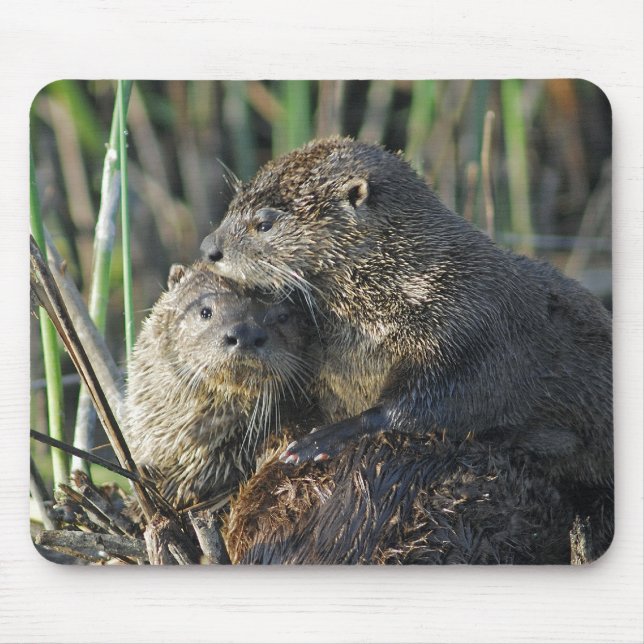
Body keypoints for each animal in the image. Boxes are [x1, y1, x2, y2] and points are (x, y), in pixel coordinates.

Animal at [200, 137, 613, 496]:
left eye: (264, 224)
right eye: (232, 205)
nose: (209, 248)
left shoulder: (475, 332)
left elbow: (446, 405)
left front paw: (320, 440)